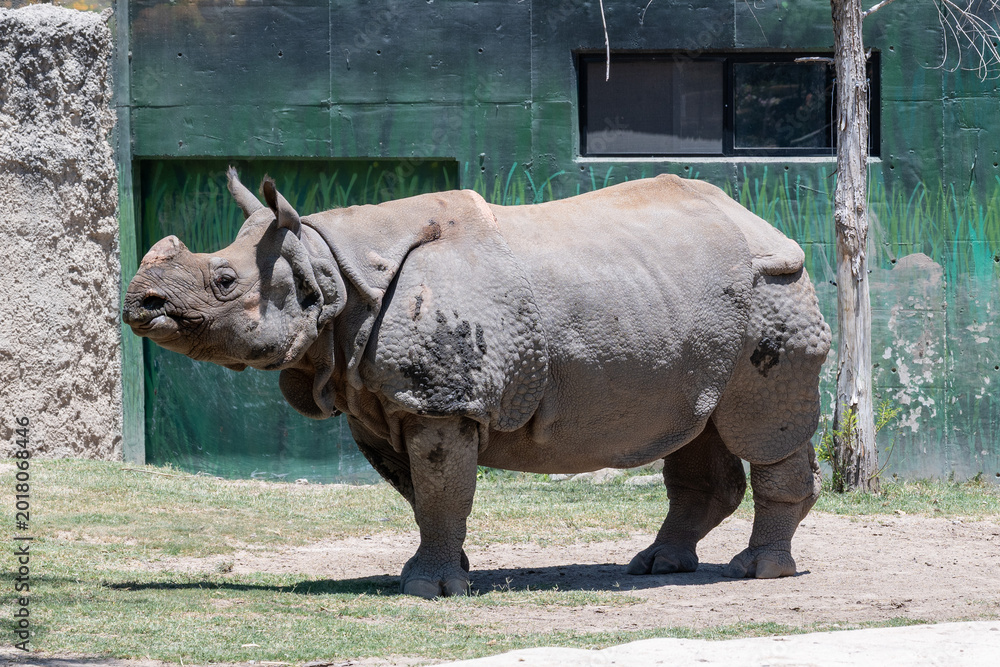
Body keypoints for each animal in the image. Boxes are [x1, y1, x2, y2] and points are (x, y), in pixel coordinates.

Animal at [123, 169, 831, 598]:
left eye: (223, 282)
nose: (141, 303)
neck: (323, 268)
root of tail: (761, 222)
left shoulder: (440, 401)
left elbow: (441, 488)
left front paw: (426, 590)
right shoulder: (380, 398)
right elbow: (424, 493)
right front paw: (447, 572)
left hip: (773, 290)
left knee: (760, 427)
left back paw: (757, 572)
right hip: (687, 306)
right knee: (697, 426)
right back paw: (658, 565)